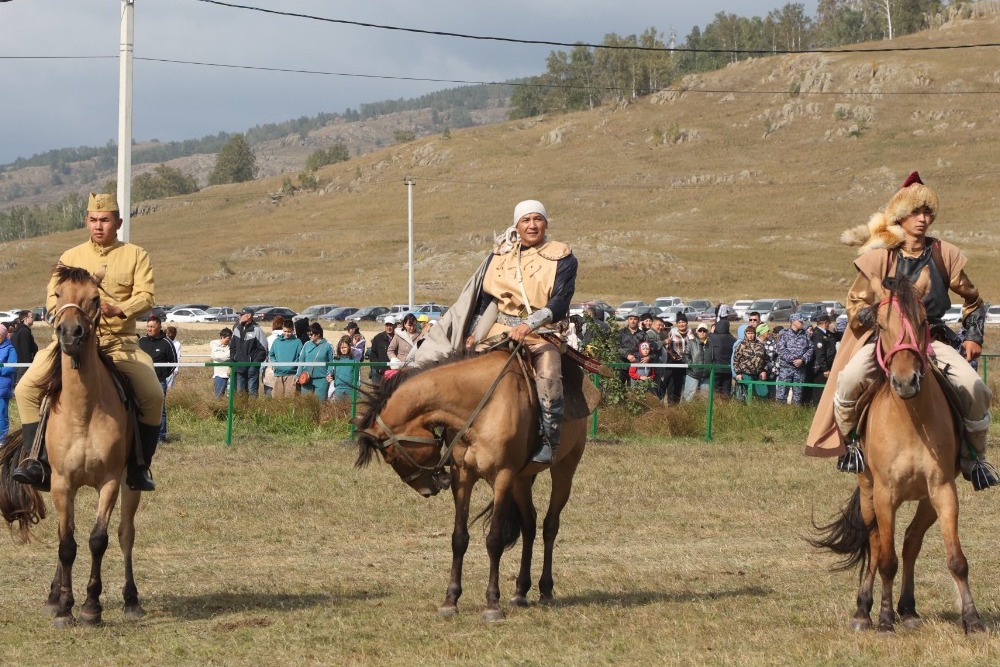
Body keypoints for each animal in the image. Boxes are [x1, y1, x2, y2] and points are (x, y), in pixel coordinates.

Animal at [0, 264, 145, 627]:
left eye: (94, 298)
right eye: (57, 294)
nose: (70, 333)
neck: (84, 411)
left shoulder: (109, 481)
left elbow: (98, 540)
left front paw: (91, 607)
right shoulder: (63, 483)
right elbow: (66, 544)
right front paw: (64, 606)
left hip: (130, 485)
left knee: (126, 534)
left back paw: (131, 600)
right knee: (66, 535)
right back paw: (54, 597)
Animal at [356, 348, 588, 621]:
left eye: (392, 457)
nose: (427, 490)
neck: (481, 408)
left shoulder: (503, 477)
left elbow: (494, 540)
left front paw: (492, 604)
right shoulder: (463, 476)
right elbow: (459, 538)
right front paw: (450, 600)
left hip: (564, 468)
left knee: (550, 525)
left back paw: (546, 590)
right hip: (521, 480)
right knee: (529, 524)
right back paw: (520, 591)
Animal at [811, 267, 985, 634]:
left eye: (922, 321)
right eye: (880, 325)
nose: (906, 381)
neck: (910, 419)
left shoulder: (943, 490)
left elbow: (956, 560)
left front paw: (972, 619)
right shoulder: (884, 493)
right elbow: (885, 558)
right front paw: (883, 619)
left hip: (926, 502)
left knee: (910, 542)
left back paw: (908, 609)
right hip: (867, 493)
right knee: (878, 545)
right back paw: (865, 611)